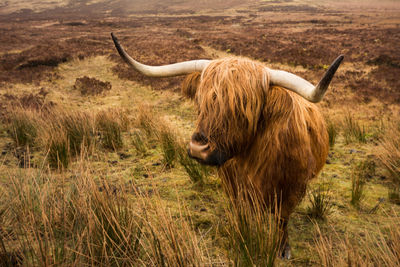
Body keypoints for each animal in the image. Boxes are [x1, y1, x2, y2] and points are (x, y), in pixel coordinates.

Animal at [111, 33, 342, 260]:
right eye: (200, 101)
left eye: (242, 107)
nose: (198, 148)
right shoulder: (233, 183)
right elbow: (242, 212)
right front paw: (244, 234)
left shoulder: (292, 187)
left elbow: (281, 219)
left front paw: (282, 249)